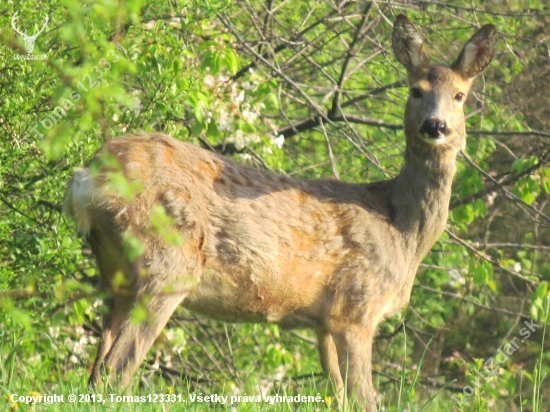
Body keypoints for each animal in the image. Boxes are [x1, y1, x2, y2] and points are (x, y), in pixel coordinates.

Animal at [66, 14, 500, 410]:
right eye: (415, 90)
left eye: (460, 95)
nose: (435, 125)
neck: (402, 231)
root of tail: (90, 176)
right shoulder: (357, 307)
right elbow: (365, 399)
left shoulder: (324, 322)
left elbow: (337, 397)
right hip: (168, 261)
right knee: (116, 369)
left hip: (117, 275)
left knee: (96, 371)